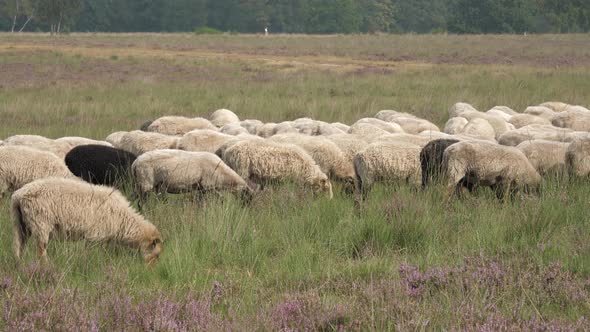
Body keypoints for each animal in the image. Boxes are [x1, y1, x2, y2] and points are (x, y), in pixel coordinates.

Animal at [11, 176, 163, 264]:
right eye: (156, 255)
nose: (150, 270)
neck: (123, 220)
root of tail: (18, 195)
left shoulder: (103, 238)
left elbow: (103, 253)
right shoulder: (95, 235)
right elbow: (88, 253)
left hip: (21, 224)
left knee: (18, 245)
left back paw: (19, 264)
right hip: (41, 223)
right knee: (41, 251)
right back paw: (46, 266)